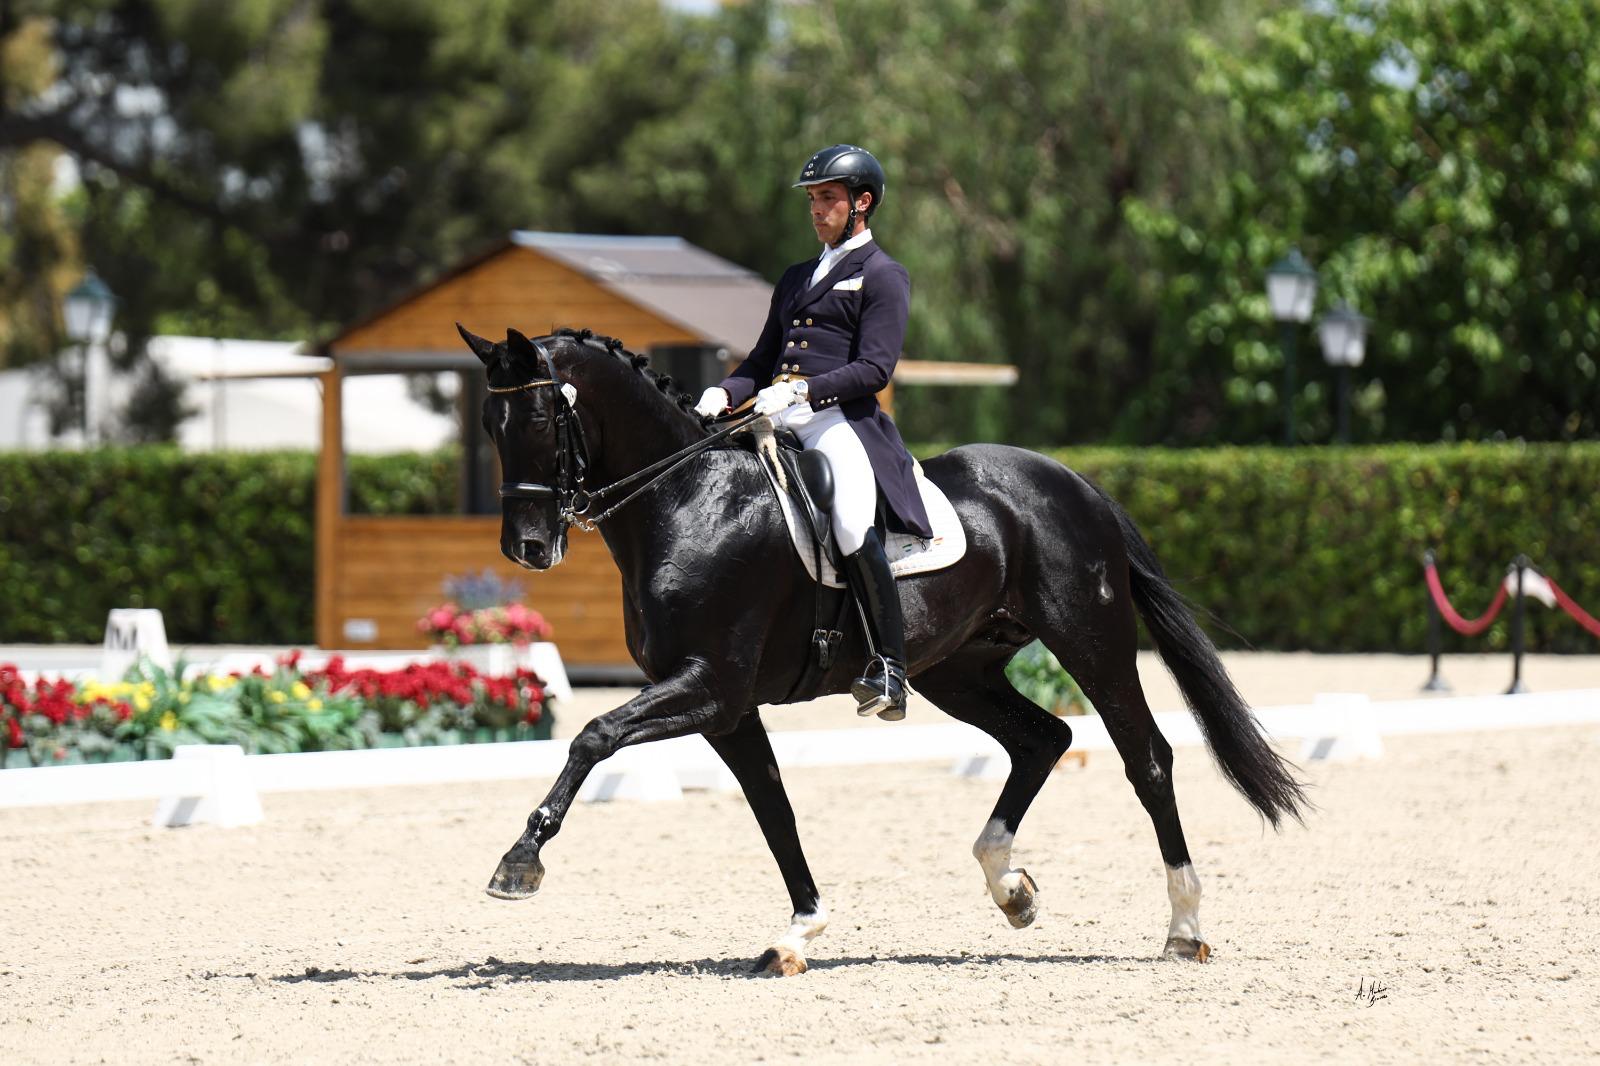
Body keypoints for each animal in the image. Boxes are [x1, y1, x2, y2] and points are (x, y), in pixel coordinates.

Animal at [457, 321, 1305, 973]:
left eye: (540, 421)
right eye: (490, 429)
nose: (526, 548)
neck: (689, 499)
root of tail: (1077, 483)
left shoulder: (710, 684)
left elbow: (594, 735)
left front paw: (518, 863)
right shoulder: (725, 707)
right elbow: (773, 806)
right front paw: (797, 934)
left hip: (1089, 642)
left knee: (1146, 757)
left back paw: (1185, 929)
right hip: (957, 670)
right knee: (1043, 739)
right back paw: (1011, 888)